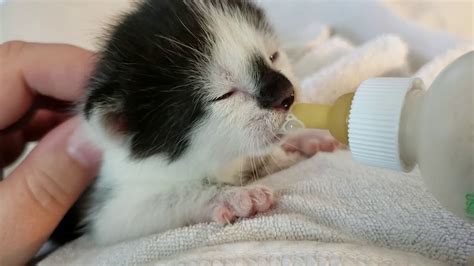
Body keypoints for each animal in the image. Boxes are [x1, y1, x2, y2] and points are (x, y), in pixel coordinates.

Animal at [51, 0, 334, 245]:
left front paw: (306, 135)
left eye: (273, 56)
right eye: (224, 95)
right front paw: (231, 196)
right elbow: (168, 197)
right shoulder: (109, 210)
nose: (287, 94)